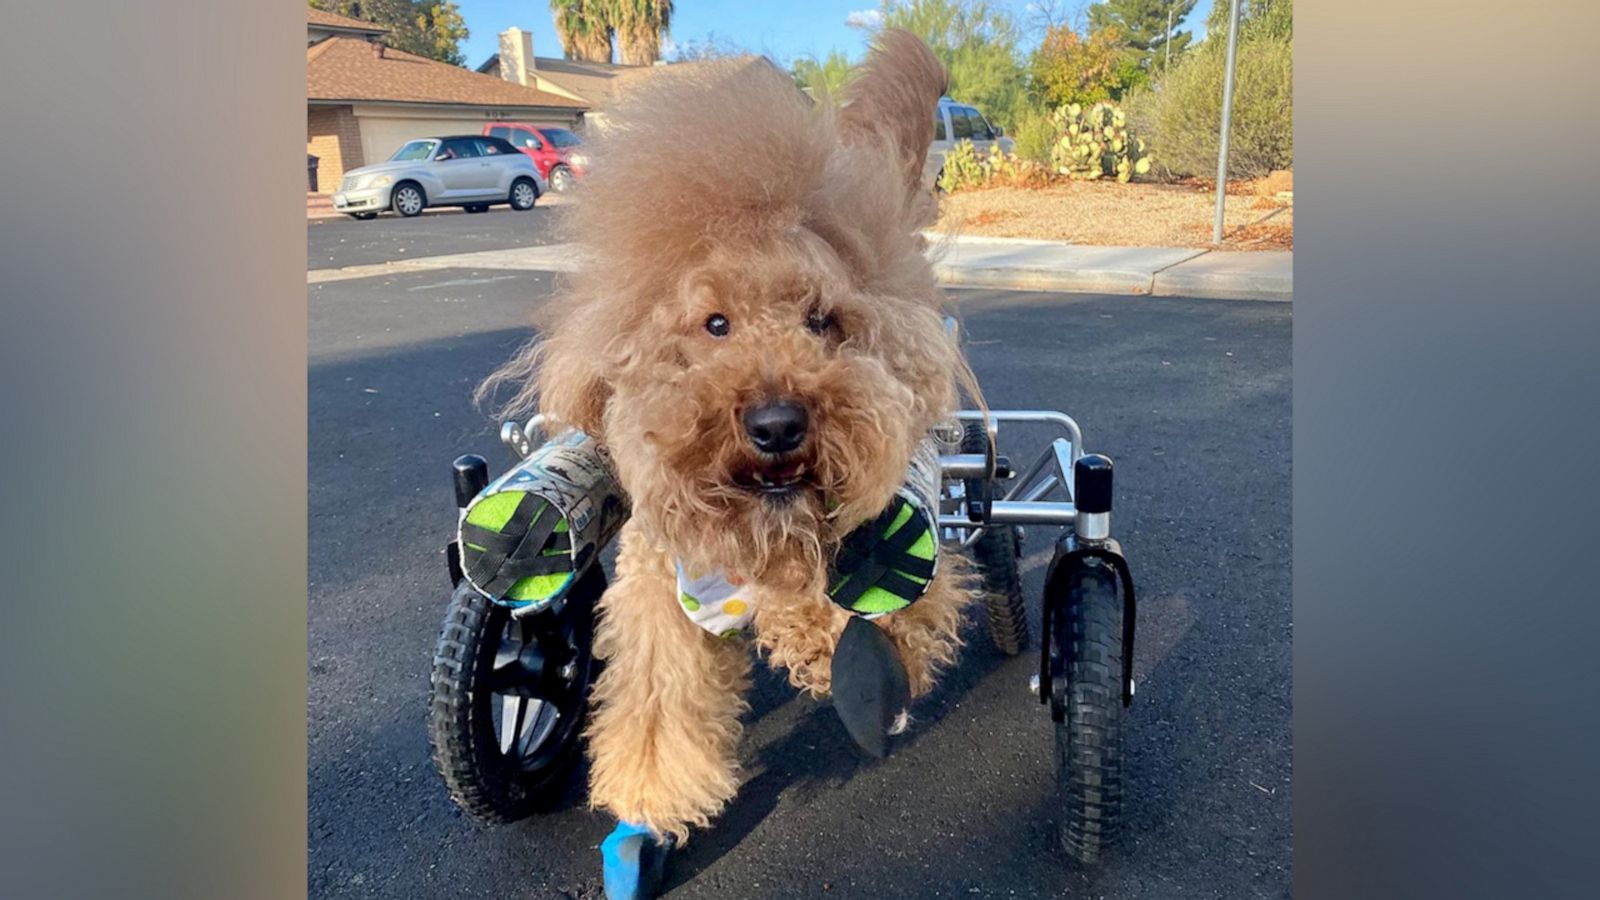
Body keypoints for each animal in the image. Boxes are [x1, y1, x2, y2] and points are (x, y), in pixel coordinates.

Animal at [480, 29, 979, 839]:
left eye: (822, 321)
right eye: (715, 325)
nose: (777, 424)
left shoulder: (906, 571)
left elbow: (868, 606)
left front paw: (814, 636)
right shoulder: (657, 598)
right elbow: (655, 706)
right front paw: (654, 792)